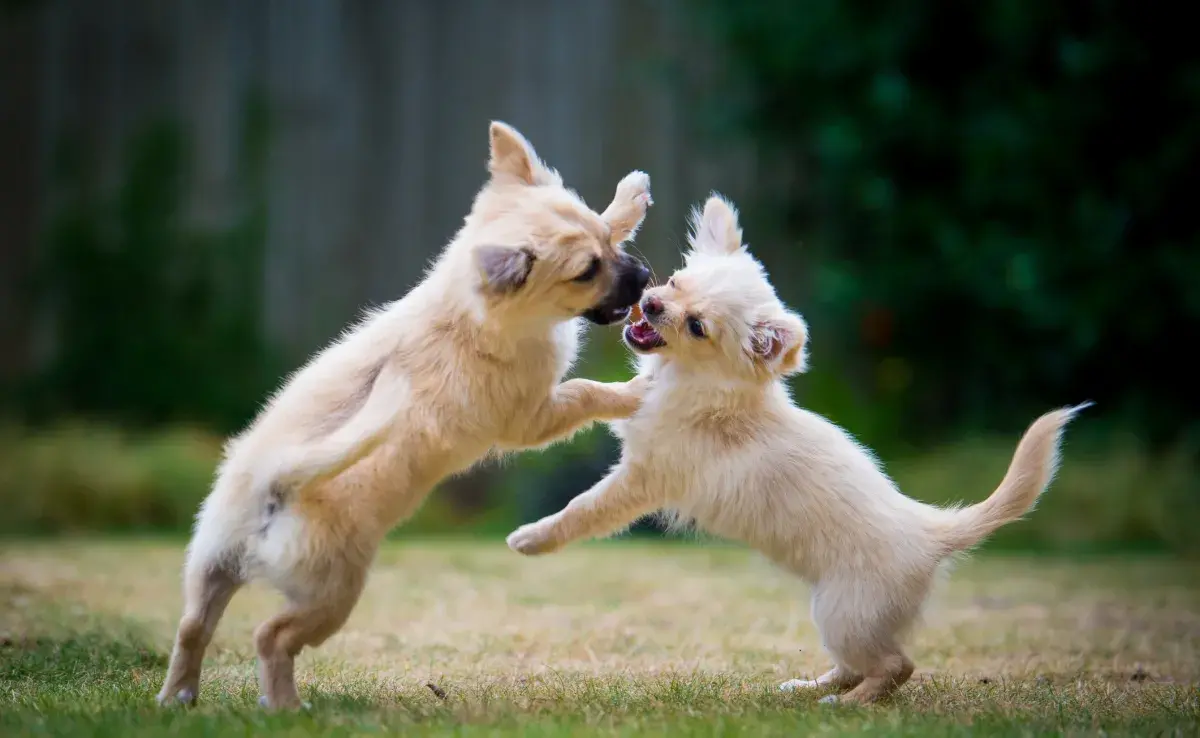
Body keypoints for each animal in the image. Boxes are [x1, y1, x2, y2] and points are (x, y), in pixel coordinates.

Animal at [160, 121, 657, 710]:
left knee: (193, 627)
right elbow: (584, 391)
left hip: (210, 564)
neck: (471, 315)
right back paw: (285, 707)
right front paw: (633, 391)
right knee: (270, 637)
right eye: (586, 272)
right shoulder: (530, 417)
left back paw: (178, 697)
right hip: (331, 593)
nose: (645, 276)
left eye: (608, 247)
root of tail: (272, 487)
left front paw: (629, 198)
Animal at [506, 194, 1089, 705]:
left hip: (843, 613)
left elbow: (583, 508)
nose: (649, 301)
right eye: (674, 283)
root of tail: (931, 531)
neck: (709, 391)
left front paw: (532, 537)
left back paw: (848, 705)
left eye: (697, 327)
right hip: (838, 617)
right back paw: (810, 688)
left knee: (896, 666)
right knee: (861, 664)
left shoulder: (641, 479)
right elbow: (618, 397)